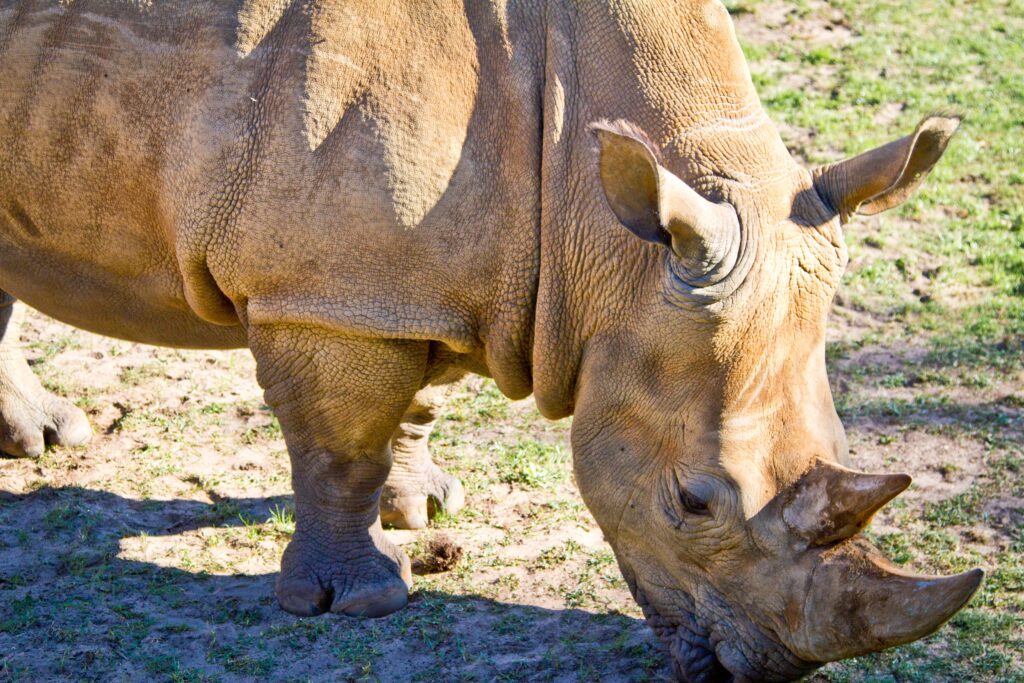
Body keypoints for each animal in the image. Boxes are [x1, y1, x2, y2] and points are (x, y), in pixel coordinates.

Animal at [0, 0, 983, 679]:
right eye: (691, 501)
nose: (772, 669)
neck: (607, 228)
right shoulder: (333, 294)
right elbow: (340, 445)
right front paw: (360, 601)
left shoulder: (440, 281)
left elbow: (414, 407)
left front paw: (424, 508)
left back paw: (45, 439)